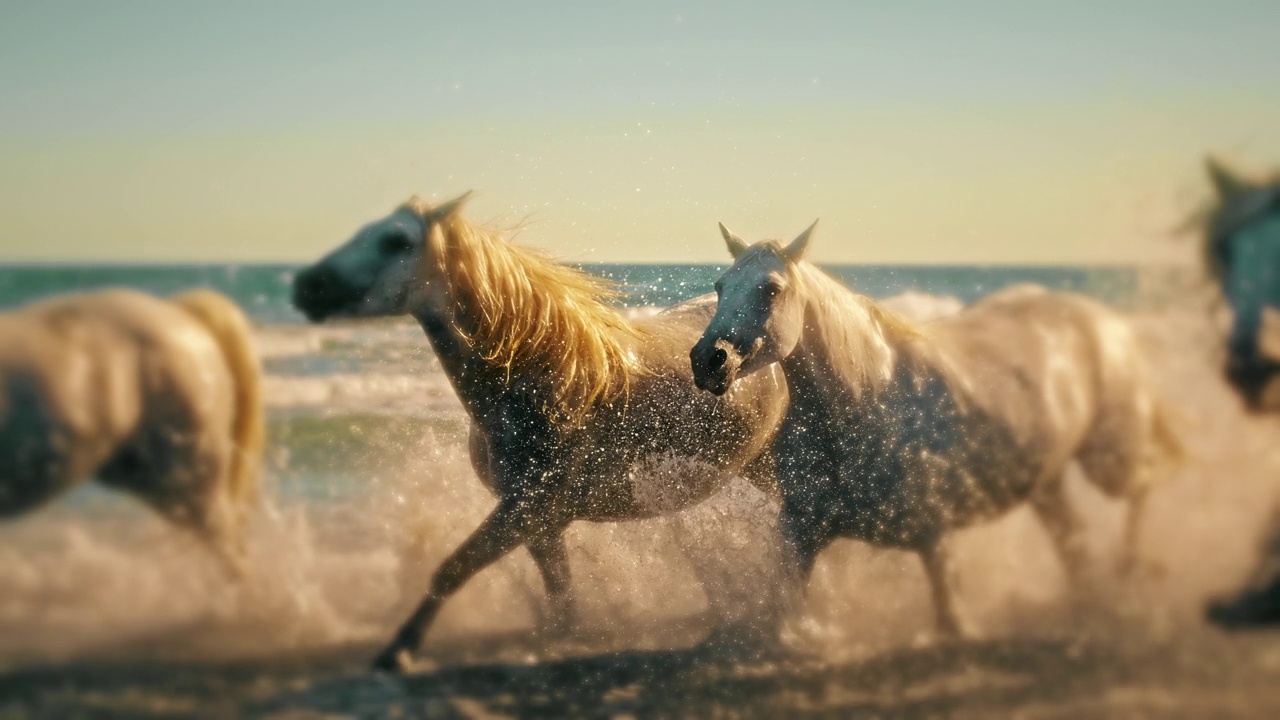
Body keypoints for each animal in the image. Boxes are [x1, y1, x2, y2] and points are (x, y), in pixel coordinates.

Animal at [293, 190, 788, 666]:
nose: (305, 286)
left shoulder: (524, 511)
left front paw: (399, 650)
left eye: (396, 241)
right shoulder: (540, 525)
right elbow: (560, 596)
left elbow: (453, 568)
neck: (550, 380)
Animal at [691, 220, 1177, 632]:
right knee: (1075, 542)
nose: (708, 360)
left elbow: (954, 624)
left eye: (770, 289)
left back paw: (1132, 571)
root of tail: (1101, 319)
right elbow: (784, 621)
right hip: (1046, 482)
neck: (867, 398)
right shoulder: (799, 533)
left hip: (1109, 459)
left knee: (1144, 485)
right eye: (720, 287)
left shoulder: (935, 536)